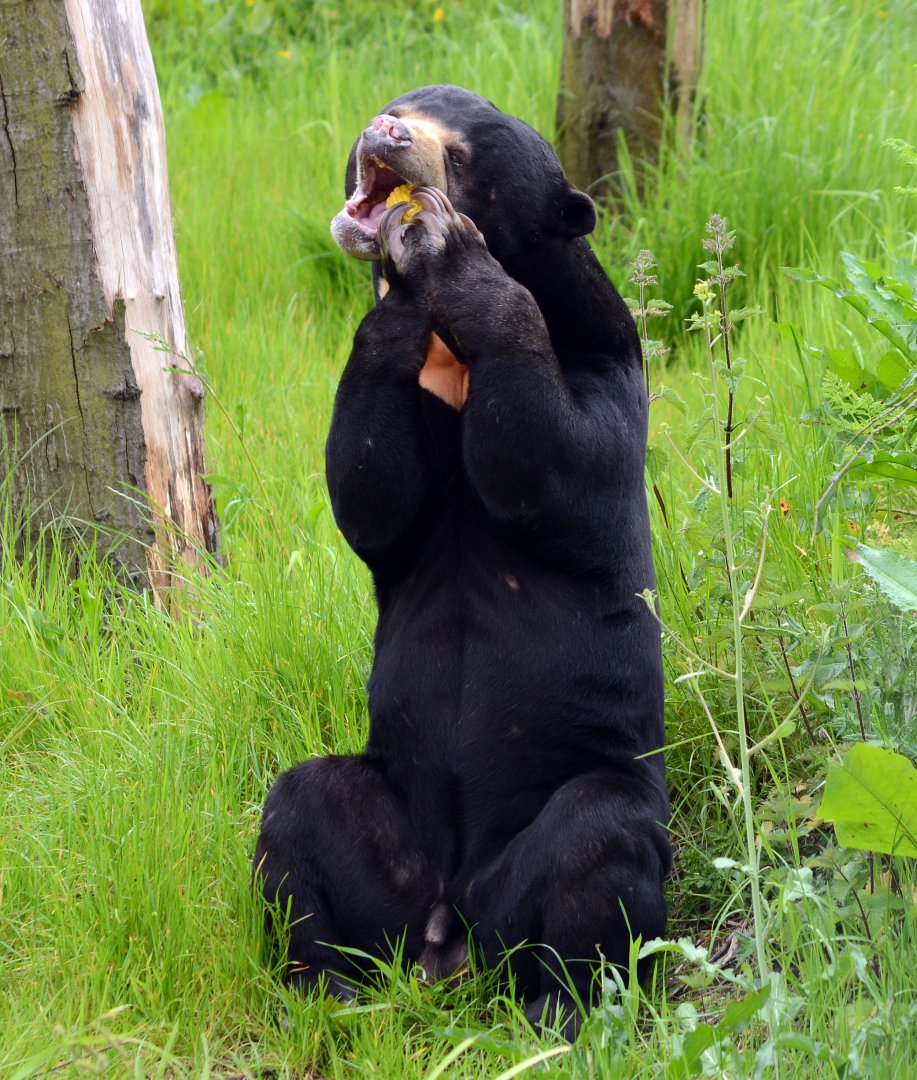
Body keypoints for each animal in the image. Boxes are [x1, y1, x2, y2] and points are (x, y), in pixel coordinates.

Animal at [254, 84, 670, 1037]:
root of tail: (449, 934)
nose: (386, 135)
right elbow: (371, 490)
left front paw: (445, 249)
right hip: (382, 841)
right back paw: (321, 986)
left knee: (599, 841)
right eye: (398, 105)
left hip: (565, 820)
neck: (447, 363)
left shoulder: (603, 367)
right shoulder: (393, 402)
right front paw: (402, 285)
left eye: (465, 155)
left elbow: (551, 457)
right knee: (297, 812)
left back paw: (564, 1012)